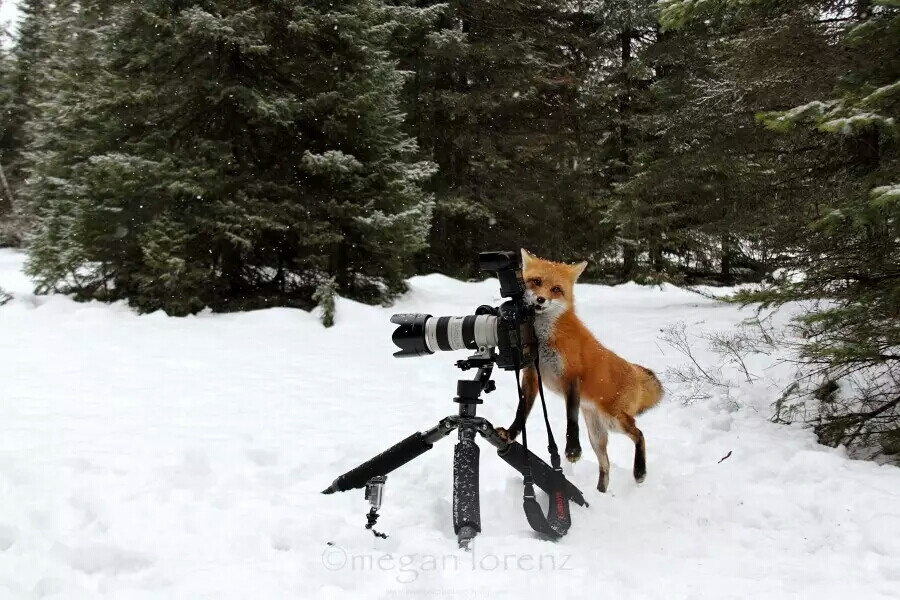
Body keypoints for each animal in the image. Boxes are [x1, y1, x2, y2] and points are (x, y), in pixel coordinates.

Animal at [496, 248, 664, 492]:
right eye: (536, 282)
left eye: (556, 289)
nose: (540, 300)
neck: (543, 340)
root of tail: (635, 371)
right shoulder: (532, 376)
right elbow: (521, 412)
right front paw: (509, 434)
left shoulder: (571, 377)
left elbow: (570, 418)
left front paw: (573, 450)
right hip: (597, 435)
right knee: (606, 466)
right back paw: (600, 494)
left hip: (615, 420)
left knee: (639, 434)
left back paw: (639, 472)